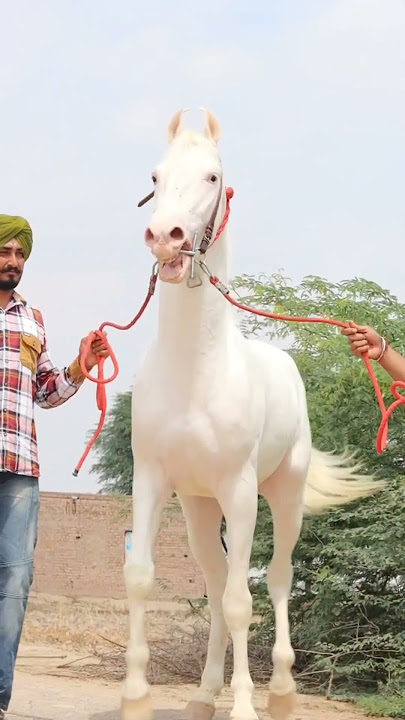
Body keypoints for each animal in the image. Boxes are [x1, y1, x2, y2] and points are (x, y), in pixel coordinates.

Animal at [121, 109, 382, 720]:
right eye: (155, 175)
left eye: (214, 176)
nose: (164, 238)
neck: (194, 373)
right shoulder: (153, 479)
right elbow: (143, 579)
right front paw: (136, 697)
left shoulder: (239, 490)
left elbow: (245, 601)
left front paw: (244, 705)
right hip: (199, 509)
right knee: (217, 584)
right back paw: (203, 696)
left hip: (281, 496)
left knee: (278, 579)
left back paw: (281, 692)